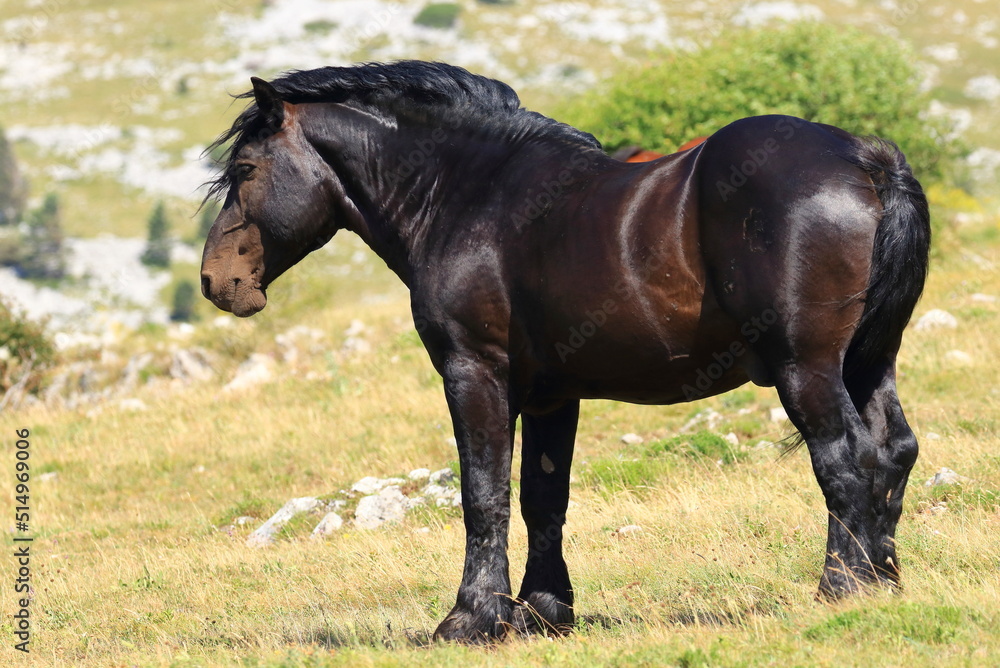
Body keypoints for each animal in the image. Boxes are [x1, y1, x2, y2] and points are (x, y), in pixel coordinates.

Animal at [199, 61, 932, 640]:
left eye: (245, 169)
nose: (215, 280)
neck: (466, 196)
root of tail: (866, 159)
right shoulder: (555, 394)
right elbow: (542, 499)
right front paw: (544, 612)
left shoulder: (475, 373)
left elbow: (483, 494)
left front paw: (471, 618)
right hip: (869, 361)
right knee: (892, 449)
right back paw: (886, 579)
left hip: (804, 368)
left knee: (844, 457)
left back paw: (842, 586)